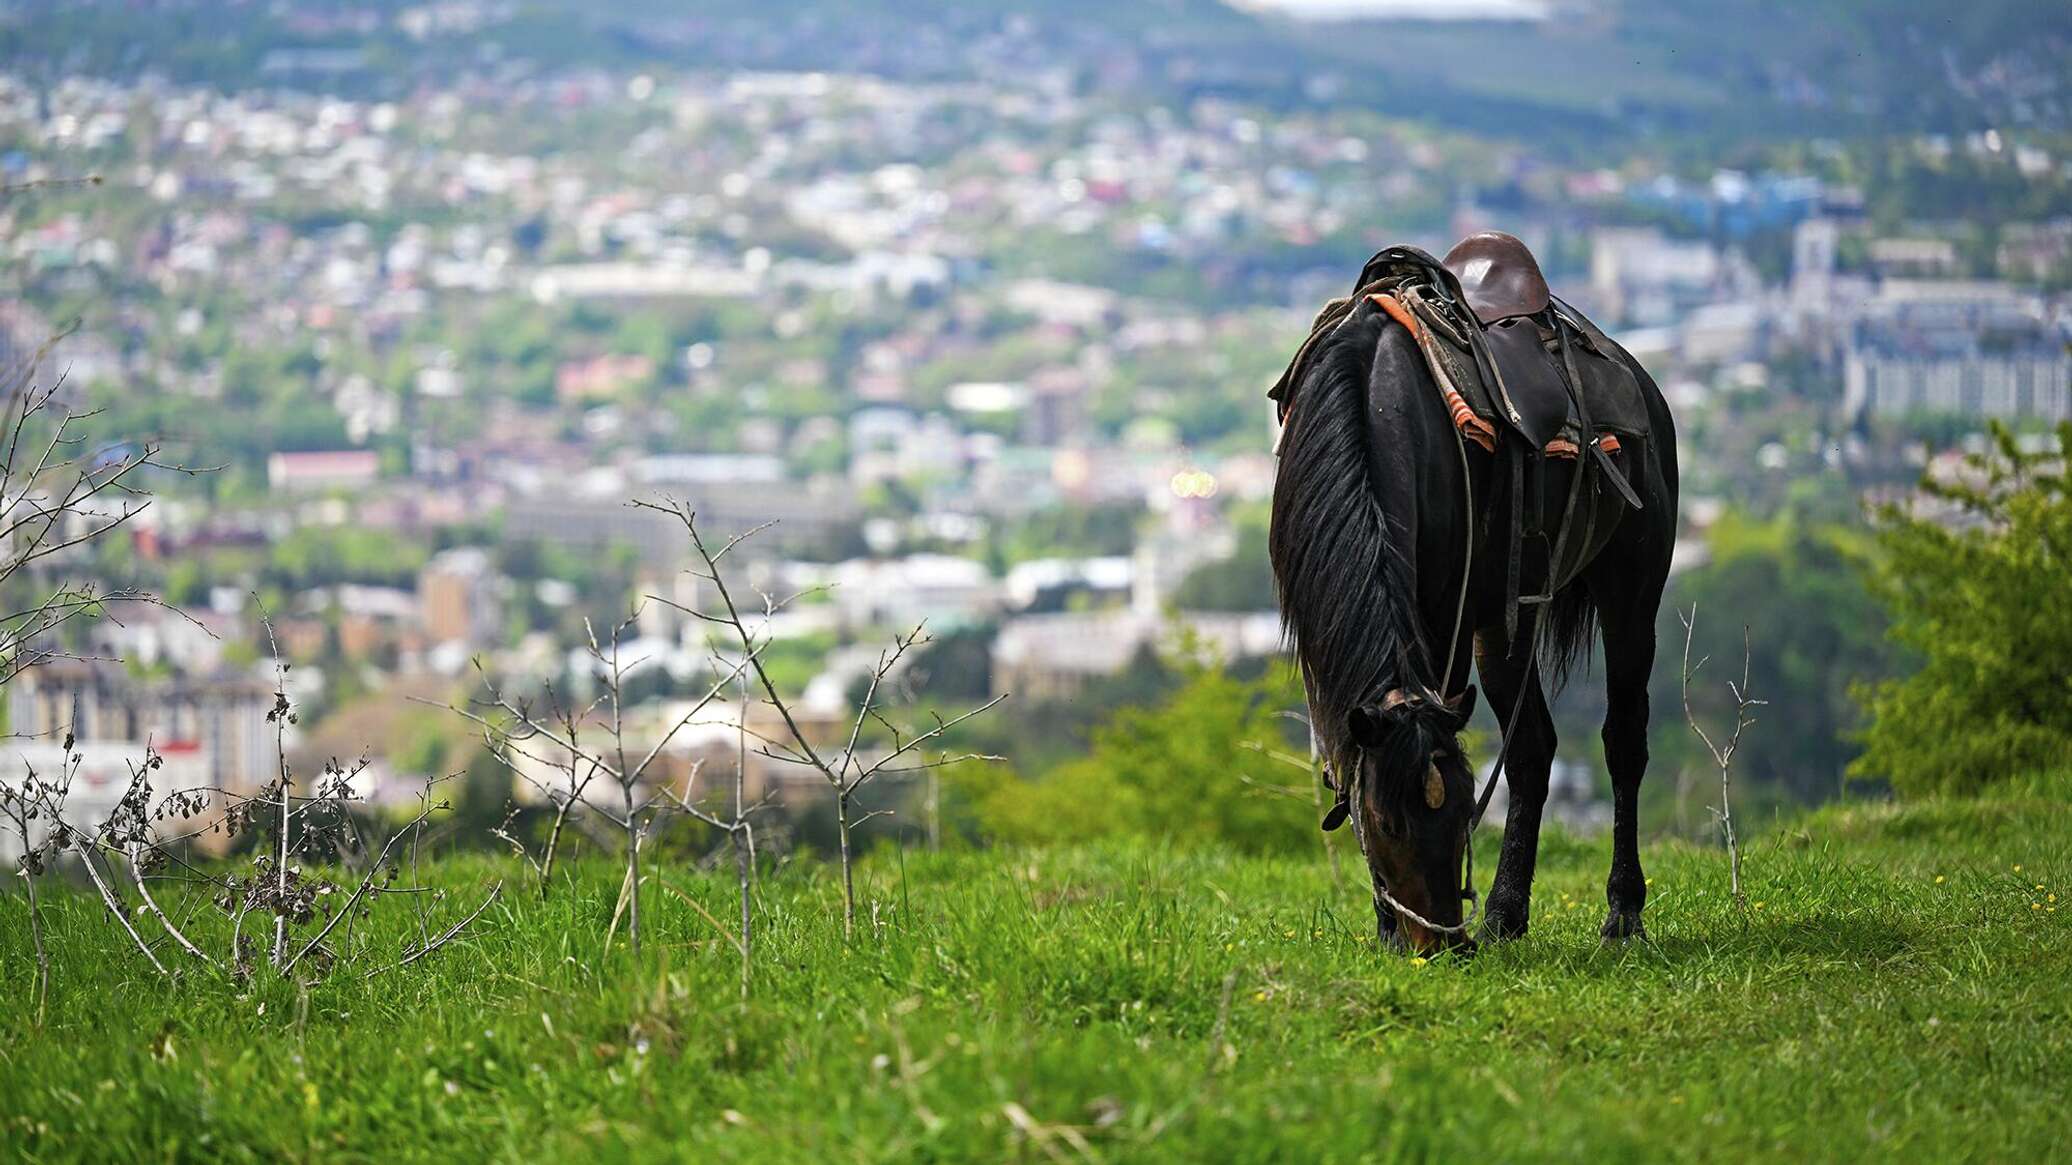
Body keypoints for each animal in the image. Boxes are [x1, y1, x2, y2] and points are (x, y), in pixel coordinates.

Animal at [1259, 236, 1682, 953]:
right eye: (1389, 822)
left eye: (1461, 811)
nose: (1444, 945)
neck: (1371, 398)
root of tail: (1640, 382)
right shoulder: (1329, 645)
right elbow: (1347, 760)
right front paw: (1386, 924)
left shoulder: (1445, 615)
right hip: (1506, 622)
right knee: (1533, 748)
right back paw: (1507, 915)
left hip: (1632, 594)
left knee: (1624, 739)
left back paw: (1622, 915)